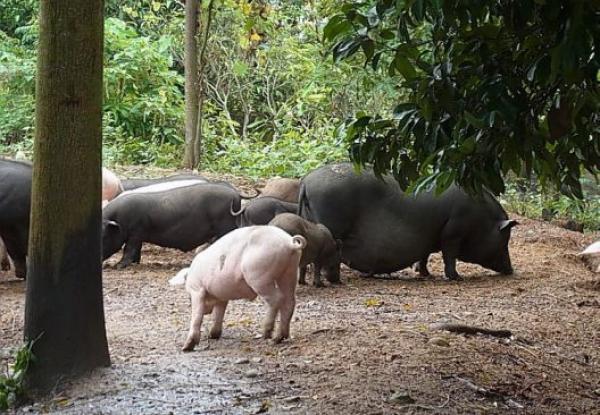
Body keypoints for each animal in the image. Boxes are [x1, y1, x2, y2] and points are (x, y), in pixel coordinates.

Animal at [171, 226, 308, 352]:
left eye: (188, 296)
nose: (207, 311)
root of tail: (290, 242)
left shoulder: (197, 289)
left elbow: (197, 315)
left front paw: (186, 347)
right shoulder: (221, 297)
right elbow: (218, 314)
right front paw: (213, 335)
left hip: (259, 276)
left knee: (277, 299)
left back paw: (267, 335)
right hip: (290, 272)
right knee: (290, 301)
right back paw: (279, 337)